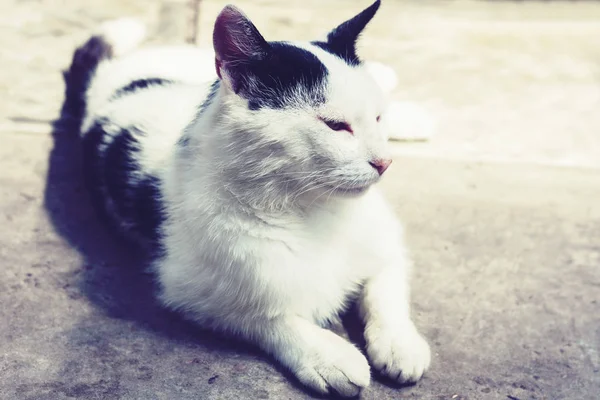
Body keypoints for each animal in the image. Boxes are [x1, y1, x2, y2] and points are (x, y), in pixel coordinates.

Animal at [63, 0, 432, 396]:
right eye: (335, 126)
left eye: (378, 118)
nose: (384, 162)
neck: (312, 208)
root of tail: (106, 77)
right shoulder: (190, 291)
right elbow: (267, 318)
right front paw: (327, 355)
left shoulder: (386, 243)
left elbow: (385, 293)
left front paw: (399, 344)